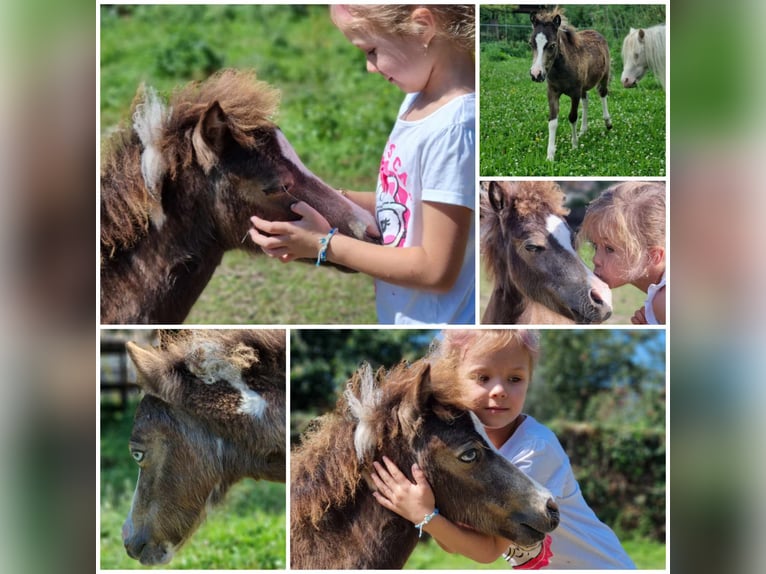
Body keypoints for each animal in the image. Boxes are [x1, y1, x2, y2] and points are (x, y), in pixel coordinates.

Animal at [532, 9, 616, 161]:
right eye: (531, 44)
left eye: (552, 45)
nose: (536, 74)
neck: (561, 68)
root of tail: (598, 33)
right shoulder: (552, 92)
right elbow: (552, 121)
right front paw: (550, 155)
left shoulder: (575, 93)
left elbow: (572, 117)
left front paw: (575, 145)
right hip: (584, 86)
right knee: (586, 100)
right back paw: (583, 130)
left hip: (604, 76)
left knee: (603, 93)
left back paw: (608, 123)